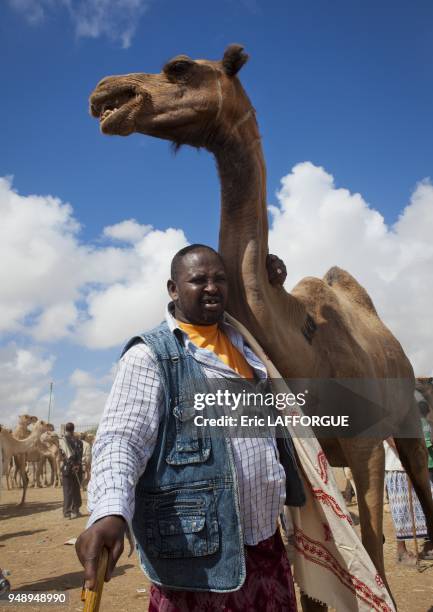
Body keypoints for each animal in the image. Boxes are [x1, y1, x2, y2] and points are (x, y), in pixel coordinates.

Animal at [88, 44, 432, 608]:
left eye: (178, 66)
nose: (106, 92)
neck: (306, 344)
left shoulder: (365, 442)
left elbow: (370, 543)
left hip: (406, 418)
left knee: (422, 483)